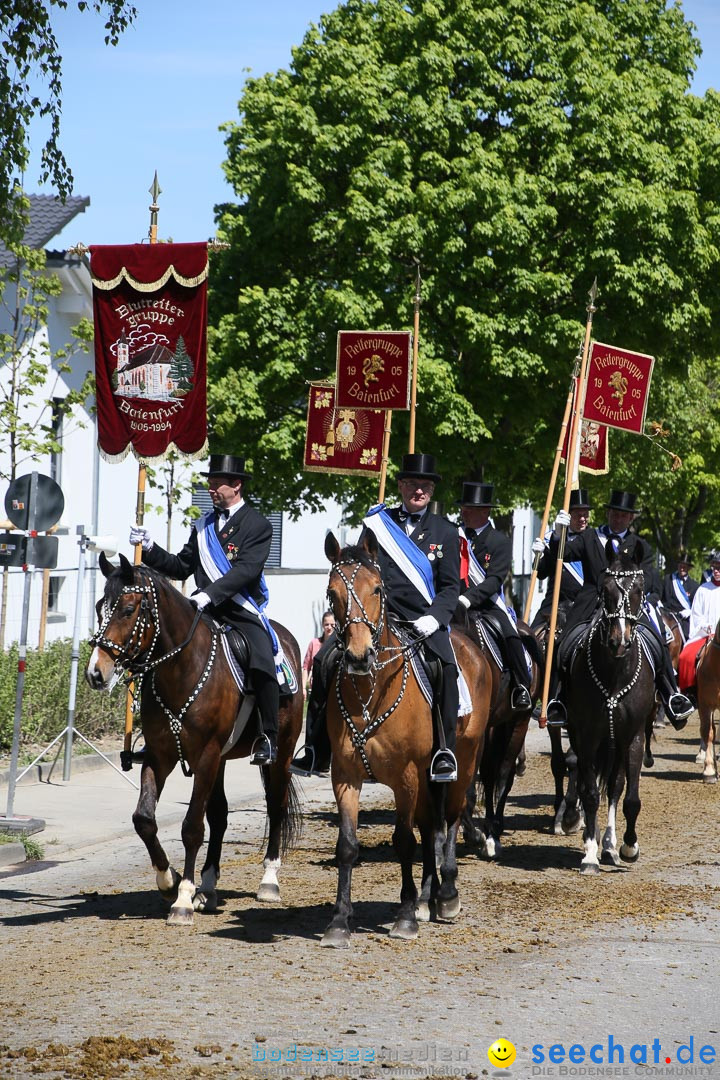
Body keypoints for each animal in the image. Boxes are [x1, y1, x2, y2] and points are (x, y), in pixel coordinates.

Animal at [85, 552, 302, 924]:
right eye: (100, 608)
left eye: (127, 610)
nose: (96, 673)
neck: (181, 669)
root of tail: (286, 639)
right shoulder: (161, 755)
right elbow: (144, 819)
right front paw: (169, 880)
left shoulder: (206, 755)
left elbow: (190, 828)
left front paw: (183, 898)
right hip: (222, 761)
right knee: (219, 815)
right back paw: (209, 887)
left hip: (280, 752)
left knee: (275, 806)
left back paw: (268, 881)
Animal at [323, 531, 492, 946]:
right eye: (333, 592)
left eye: (378, 589)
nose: (359, 656)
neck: (370, 693)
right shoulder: (345, 776)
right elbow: (347, 845)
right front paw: (339, 921)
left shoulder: (408, 776)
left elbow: (403, 840)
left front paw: (404, 917)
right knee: (431, 824)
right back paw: (427, 898)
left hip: (461, 761)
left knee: (450, 817)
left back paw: (445, 895)